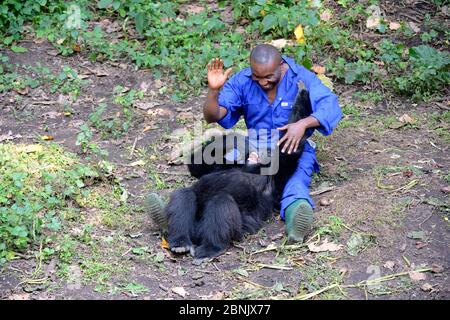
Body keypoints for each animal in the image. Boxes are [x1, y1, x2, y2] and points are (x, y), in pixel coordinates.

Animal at [157, 81, 310, 258]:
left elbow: (290, 148)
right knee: (185, 194)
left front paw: (303, 94)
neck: (251, 169)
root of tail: (196, 235)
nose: (261, 153)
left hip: (235, 229)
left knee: (221, 201)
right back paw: (180, 241)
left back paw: (211, 246)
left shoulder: (277, 175)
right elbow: (196, 167)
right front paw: (231, 140)